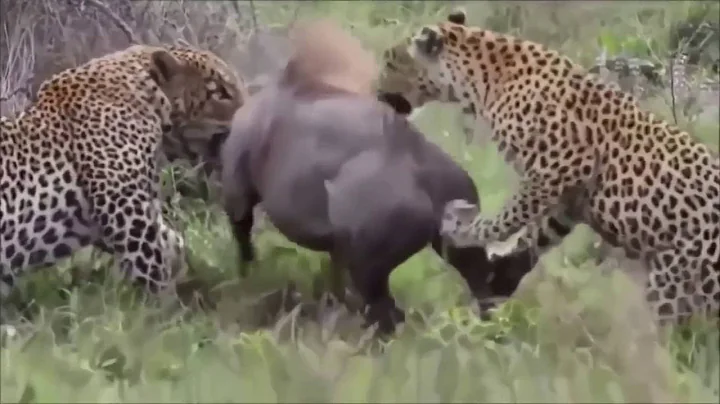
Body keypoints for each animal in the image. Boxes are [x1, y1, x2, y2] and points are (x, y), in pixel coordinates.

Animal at [375, 9, 720, 325]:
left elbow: (508, 216)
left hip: (673, 287)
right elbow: (539, 229)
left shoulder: (560, 168)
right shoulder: (570, 195)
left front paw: (467, 231)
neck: (482, 80)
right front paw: (506, 259)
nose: (375, 90)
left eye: (390, 62)